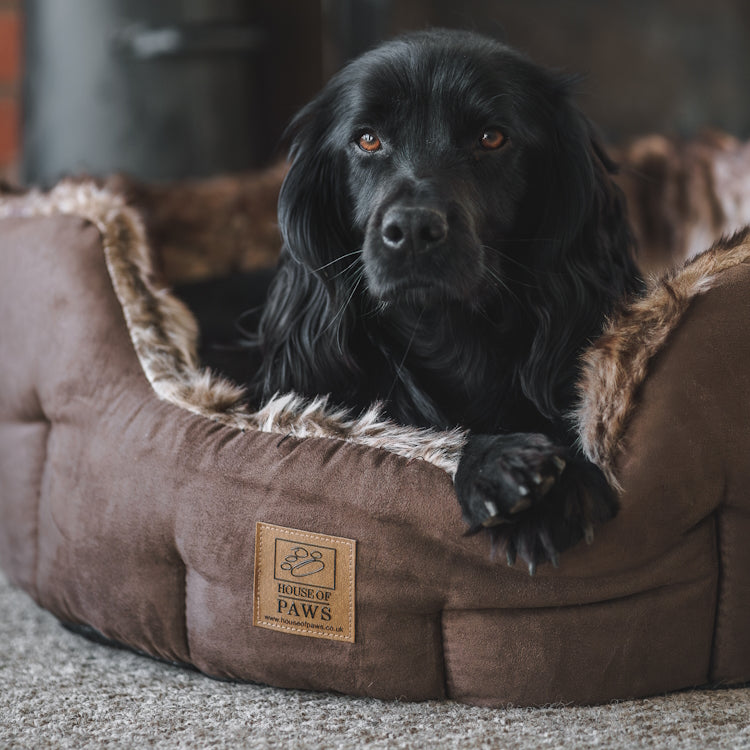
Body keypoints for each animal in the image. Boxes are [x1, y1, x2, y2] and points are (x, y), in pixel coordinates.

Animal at [250, 27, 644, 568]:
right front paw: (498, 466)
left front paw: (556, 490)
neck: (449, 332)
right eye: (367, 139)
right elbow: (426, 437)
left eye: (491, 137)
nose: (413, 230)